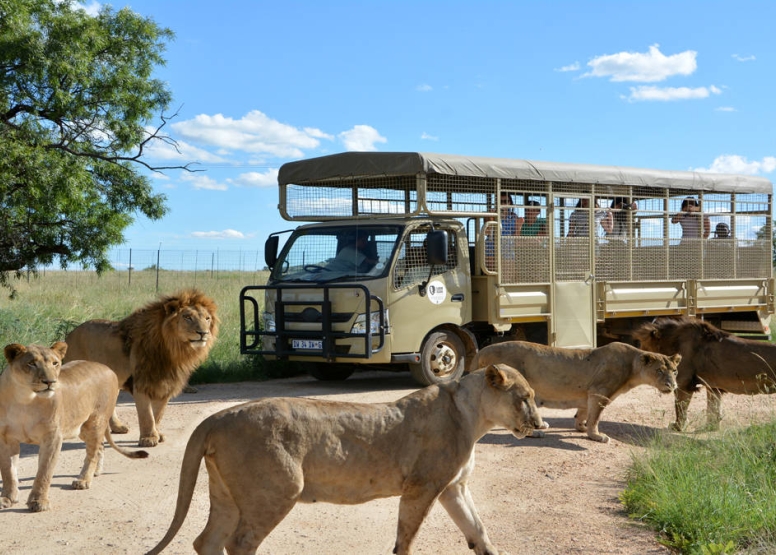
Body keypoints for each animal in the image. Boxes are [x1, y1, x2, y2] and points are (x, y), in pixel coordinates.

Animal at [1, 344, 149, 512]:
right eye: (31, 363)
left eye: (55, 363)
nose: (50, 381)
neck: (25, 399)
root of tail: (107, 368)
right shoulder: (6, 438)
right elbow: (8, 471)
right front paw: (7, 498)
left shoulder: (52, 437)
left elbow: (44, 472)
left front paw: (38, 501)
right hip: (82, 428)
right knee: (99, 447)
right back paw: (95, 472)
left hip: (95, 422)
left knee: (92, 452)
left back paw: (84, 480)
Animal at [63, 288, 218, 450]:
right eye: (188, 317)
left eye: (207, 319)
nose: (203, 333)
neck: (174, 351)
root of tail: (70, 334)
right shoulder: (141, 383)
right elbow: (147, 415)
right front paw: (148, 438)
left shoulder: (166, 384)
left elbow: (158, 414)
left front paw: (157, 434)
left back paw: (117, 427)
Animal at [147, 364, 544, 555]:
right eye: (525, 397)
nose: (540, 424)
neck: (473, 416)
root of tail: (215, 418)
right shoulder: (422, 487)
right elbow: (406, 539)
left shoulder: (453, 487)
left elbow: (478, 530)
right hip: (278, 490)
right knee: (239, 543)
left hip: (226, 494)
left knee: (207, 542)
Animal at [466, 338, 680, 444]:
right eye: (660, 371)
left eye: (675, 371)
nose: (672, 385)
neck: (633, 367)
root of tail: (481, 350)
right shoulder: (600, 392)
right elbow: (596, 417)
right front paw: (596, 436)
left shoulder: (588, 394)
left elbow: (584, 413)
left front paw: (581, 428)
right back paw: (536, 433)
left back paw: (542, 425)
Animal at [632, 318, 776, 430]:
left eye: (643, 347)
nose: (637, 362)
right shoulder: (713, 387)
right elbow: (713, 409)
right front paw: (710, 428)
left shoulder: (683, 384)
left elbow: (680, 407)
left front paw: (678, 427)